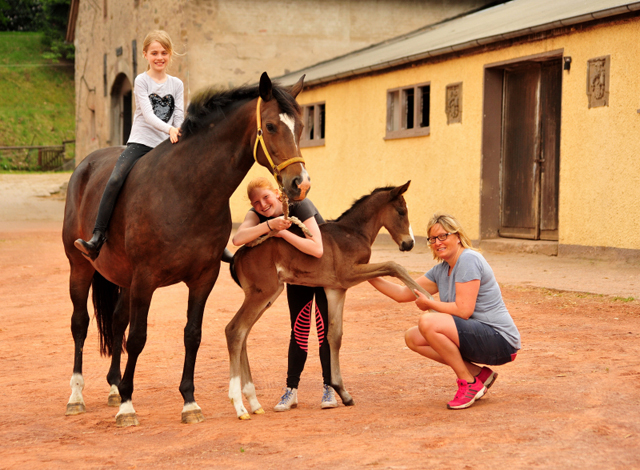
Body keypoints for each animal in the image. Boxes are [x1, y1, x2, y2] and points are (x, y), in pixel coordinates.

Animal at [63, 72, 308, 426]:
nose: (301, 183)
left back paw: (114, 387)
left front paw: (189, 402)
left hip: (123, 279)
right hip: (80, 268)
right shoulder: (146, 279)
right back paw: (77, 396)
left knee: (118, 321)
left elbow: (192, 334)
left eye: (301, 126)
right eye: (273, 126)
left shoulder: (203, 277)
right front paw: (128, 406)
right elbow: (138, 338)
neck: (186, 189)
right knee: (80, 324)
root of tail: (85, 165)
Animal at [226, 182, 436, 420]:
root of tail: (238, 255)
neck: (352, 232)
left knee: (243, 333)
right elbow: (394, 265)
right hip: (263, 293)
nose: (409, 243)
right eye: (401, 211)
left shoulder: (336, 288)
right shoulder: (349, 274)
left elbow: (334, 336)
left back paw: (253, 402)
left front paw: (342, 392)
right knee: (235, 330)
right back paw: (240, 406)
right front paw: (428, 301)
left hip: (268, 294)